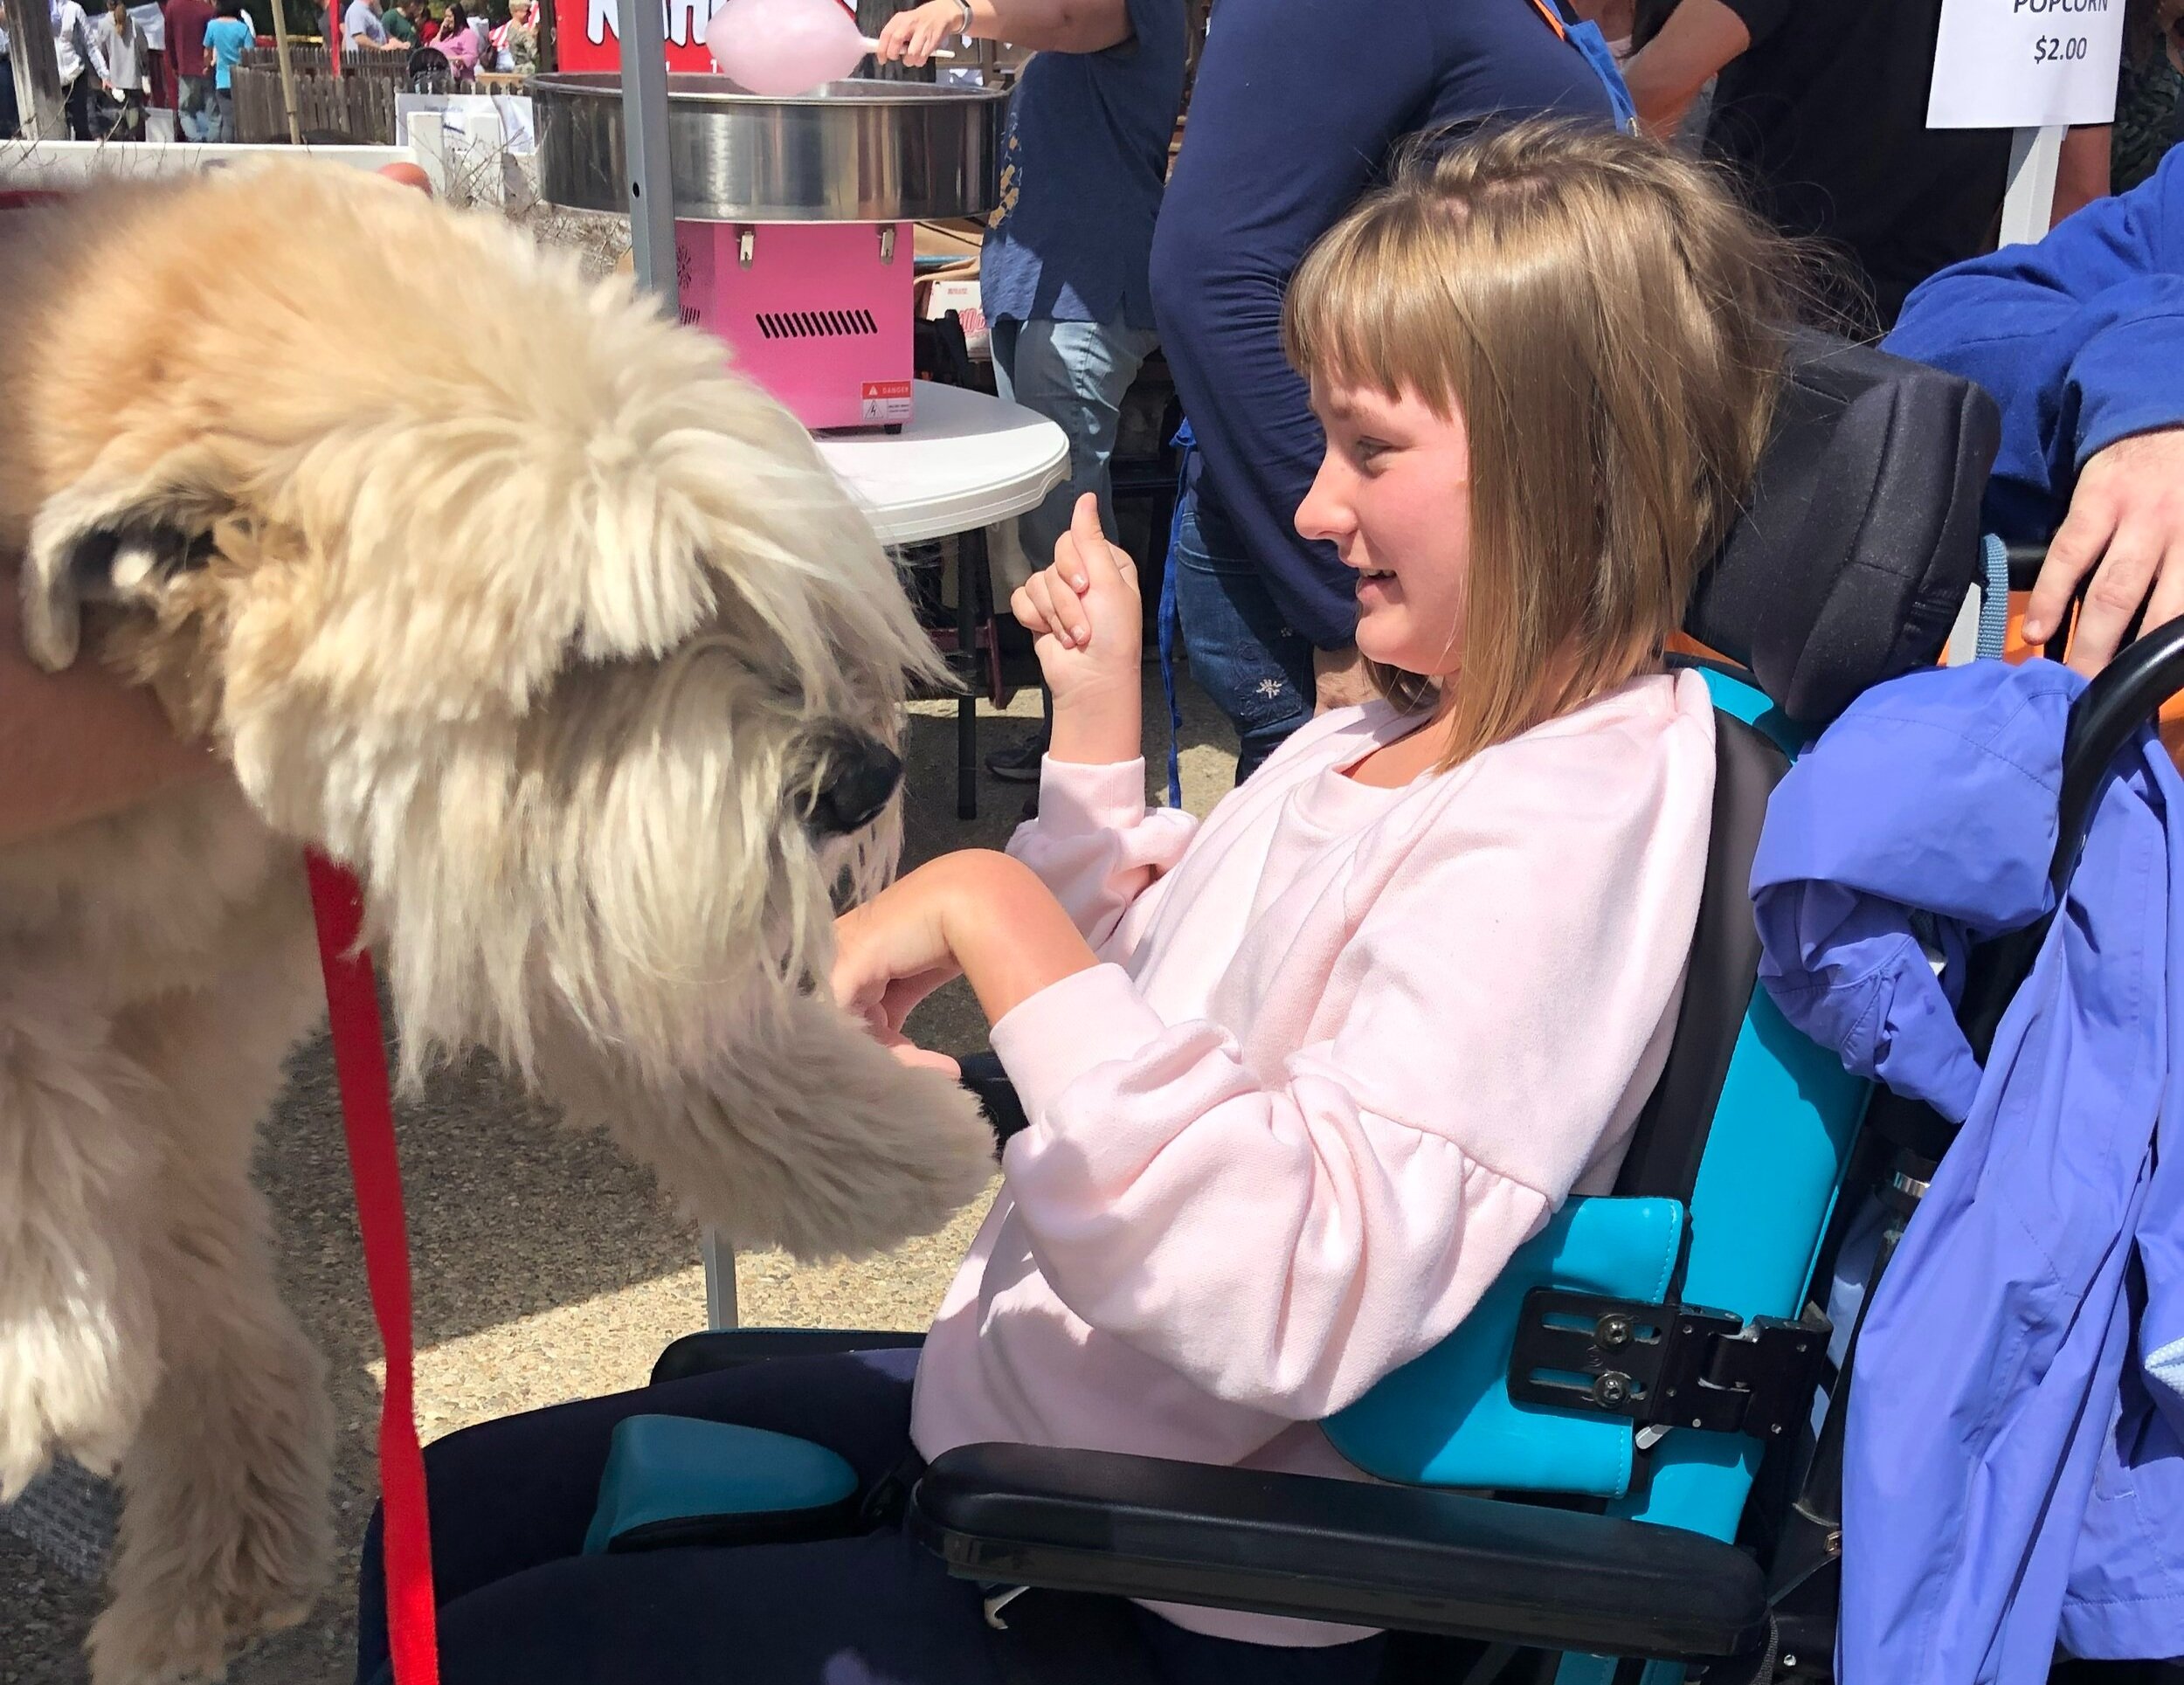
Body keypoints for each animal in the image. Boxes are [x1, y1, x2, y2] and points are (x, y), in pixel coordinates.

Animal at [0, 161, 992, 1685]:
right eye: (584, 647)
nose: (866, 778)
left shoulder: (481, 846)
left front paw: (889, 1151)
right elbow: (17, 1074)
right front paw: (42, 1347)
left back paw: (218, 1564)